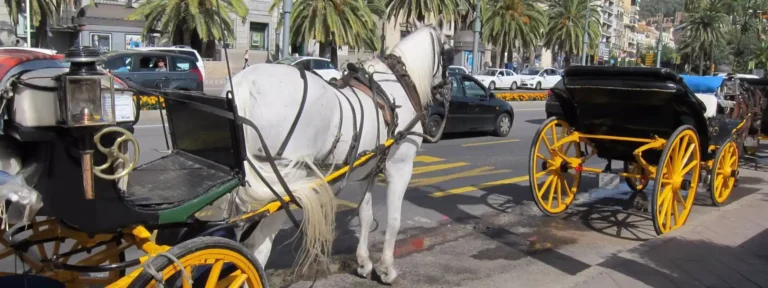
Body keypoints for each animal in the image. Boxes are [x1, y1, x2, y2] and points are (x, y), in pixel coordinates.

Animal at [228, 23, 452, 284]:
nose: (447, 88)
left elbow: (365, 214)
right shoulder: (401, 167)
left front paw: (364, 263)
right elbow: (394, 220)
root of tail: (245, 84)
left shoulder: (368, 172)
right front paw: (386, 269)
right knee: (256, 249)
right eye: (450, 53)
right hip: (281, 186)